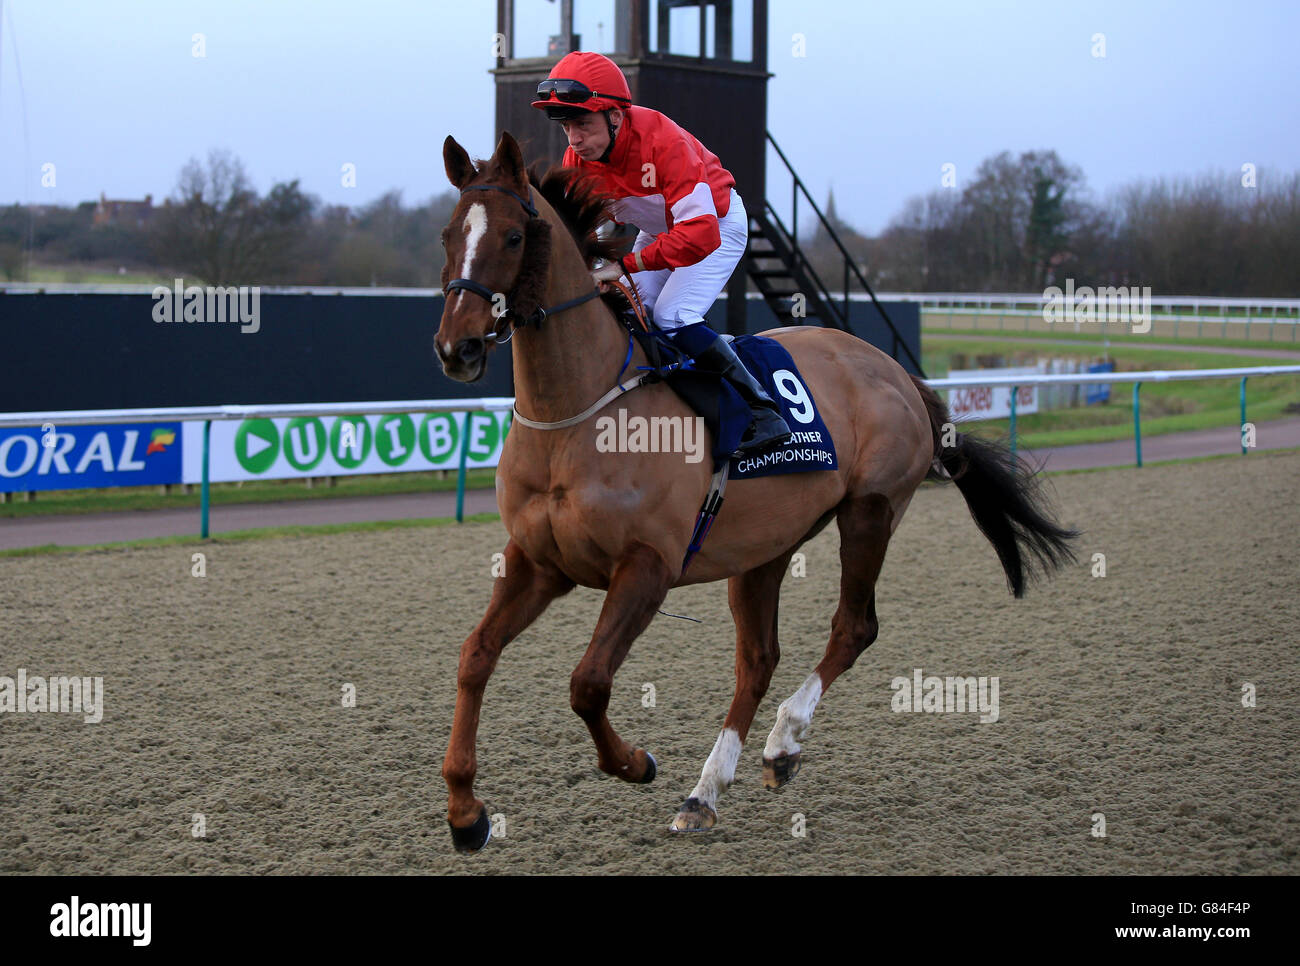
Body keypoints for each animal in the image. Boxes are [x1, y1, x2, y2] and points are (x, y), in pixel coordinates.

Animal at [434, 131, 1077, 852]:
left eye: (514, 236)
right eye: (448, 234)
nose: (457, 347)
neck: (574, 413)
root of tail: (897, 372)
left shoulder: (647, 567)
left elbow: (588, 684)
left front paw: (634, 761)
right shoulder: (538, 562)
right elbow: (475, 657)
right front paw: (465, 811)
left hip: (870, 511)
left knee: (853, 628)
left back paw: (782, 745)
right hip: (764, 548)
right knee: (758, 661)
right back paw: (705, 792)